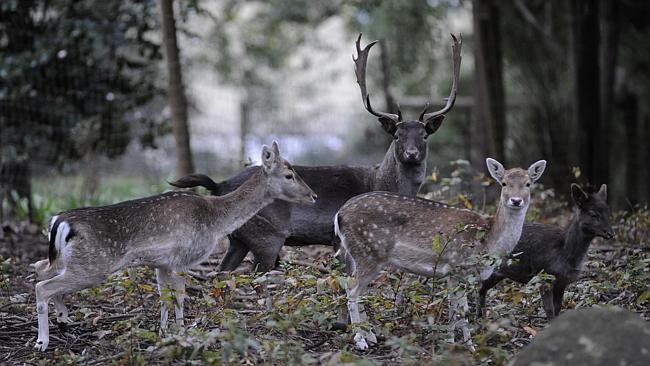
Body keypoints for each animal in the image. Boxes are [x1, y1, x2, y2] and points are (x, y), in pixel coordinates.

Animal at [31, 142, 316, 350]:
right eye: (289, 175)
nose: (313, 195)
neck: (216, 220)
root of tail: (59, 221)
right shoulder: (182, 258)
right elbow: (179, 295)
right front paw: (182, 331)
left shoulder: (162, 263)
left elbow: (164, 297)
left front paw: (164, 331)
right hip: (93, 265)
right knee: (42, 286)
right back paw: (42, 341)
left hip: (66, 259)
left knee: (39, 267)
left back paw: (64, 319)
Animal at [167, 34, 460, 274]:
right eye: (397, 135)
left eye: (424, 136)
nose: (411, 153)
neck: (381, 183)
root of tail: (219, 185)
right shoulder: (341, 238)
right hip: (266, 236)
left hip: (238, 239)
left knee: (222, 271)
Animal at [336, 157, 544, 348]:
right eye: (504, 183)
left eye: (528, 184)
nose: (516, 200)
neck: (488, 240)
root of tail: (340, 214)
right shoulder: (456, 266)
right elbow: (458, 312)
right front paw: (457, 345)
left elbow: (460, 309)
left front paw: (466, 345)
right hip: (367, 253)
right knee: (352, 290)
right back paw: (360, 341)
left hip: (363, 256)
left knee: (358, 290)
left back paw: (371, 336)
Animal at [476, 183, 612, 320]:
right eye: (593, 214)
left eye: (608, 212)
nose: (610, 233)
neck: (565, 254)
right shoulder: (543, 276)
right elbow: (549, 309)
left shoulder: (561, 282)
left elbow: (557, 308)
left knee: (481, 288)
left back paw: (481, 316)